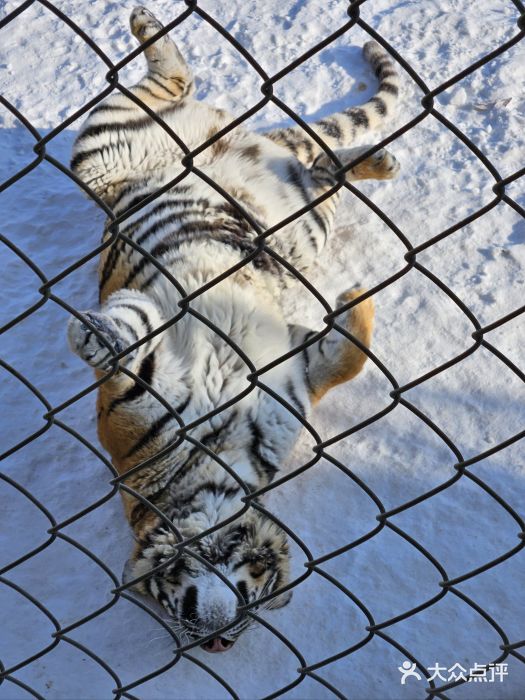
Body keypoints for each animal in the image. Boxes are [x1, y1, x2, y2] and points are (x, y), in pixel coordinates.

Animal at [67, 6, 400, 653]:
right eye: (165, 609)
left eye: (259, 596)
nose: (218, 644)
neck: (221, 472)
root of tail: (237, 139)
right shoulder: (133, 412)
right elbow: (130, 347)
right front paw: (97, 336)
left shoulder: (295, 366)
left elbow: (349, 356)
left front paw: (353, 297)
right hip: (104, 155)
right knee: (180, 86)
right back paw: (145, 24)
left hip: (299, 218)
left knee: (317, 162)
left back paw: (380, 161)